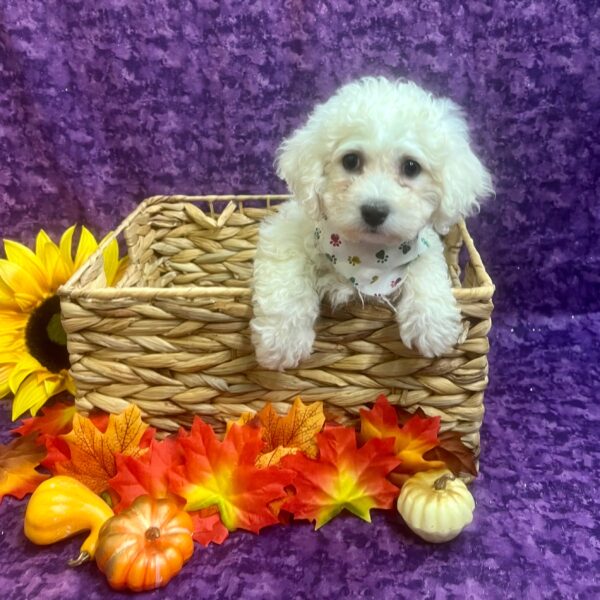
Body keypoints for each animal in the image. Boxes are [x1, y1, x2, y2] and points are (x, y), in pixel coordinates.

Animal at [250, 78, 492, 370]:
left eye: (411, 167)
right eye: (351, 160)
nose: (374, 211)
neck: (366, 256)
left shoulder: (423, 242)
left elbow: (426, 267)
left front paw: (432, 325)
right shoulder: (284, 232)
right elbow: (287, 279)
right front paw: (282, 341)